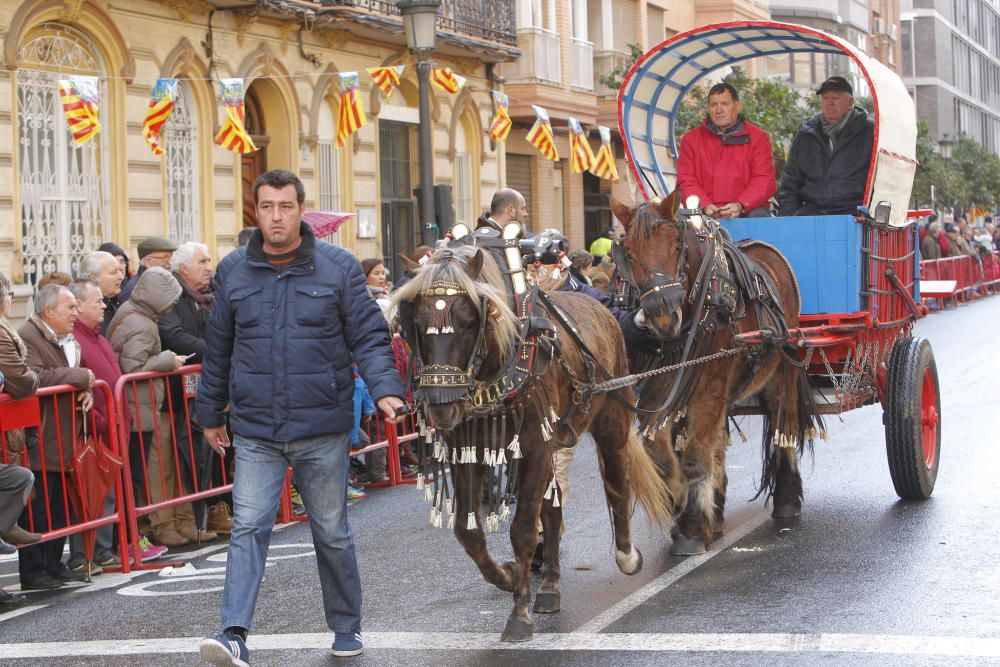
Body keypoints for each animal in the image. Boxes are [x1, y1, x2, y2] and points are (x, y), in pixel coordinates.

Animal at [390, 244, 672, 640]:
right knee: (553, 511)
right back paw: (550, 587)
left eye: (469, 321)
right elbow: (468, 530)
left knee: (617, 480)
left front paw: (519, 614)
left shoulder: (535, 446)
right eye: (414, 322)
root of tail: (602, 308)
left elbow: (522, 529)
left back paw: (627, 555)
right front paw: (508, 577)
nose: (441, 404)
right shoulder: (471, 452)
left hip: (611, 420)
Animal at [612, 190, 824, 556]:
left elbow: (696, 456)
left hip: (781, 370)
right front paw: (678, 496)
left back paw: (786, 499)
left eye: (676, 246)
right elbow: (660, 452)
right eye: (629, 253)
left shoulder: (709, 384)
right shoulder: (657, 387)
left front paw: (692, 526)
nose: (662, 317)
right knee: (718, 444)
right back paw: (718, 508)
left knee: (783, 426)